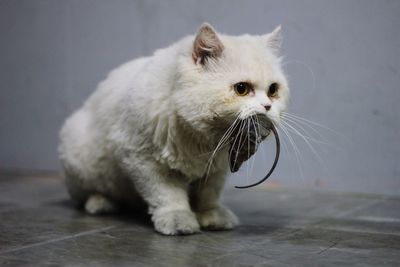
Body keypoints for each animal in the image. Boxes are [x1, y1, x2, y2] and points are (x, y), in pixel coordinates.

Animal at [58, 23, 288, 237]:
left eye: (273, 90)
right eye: (241, 89)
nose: (267, 106)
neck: (203, 138)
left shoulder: (216, 168)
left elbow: (209, 195)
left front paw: (212, 216)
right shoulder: (144, 160)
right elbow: (167, 195)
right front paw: (178, 220)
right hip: (81, 159)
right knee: (87, 194)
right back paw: (100, 203)